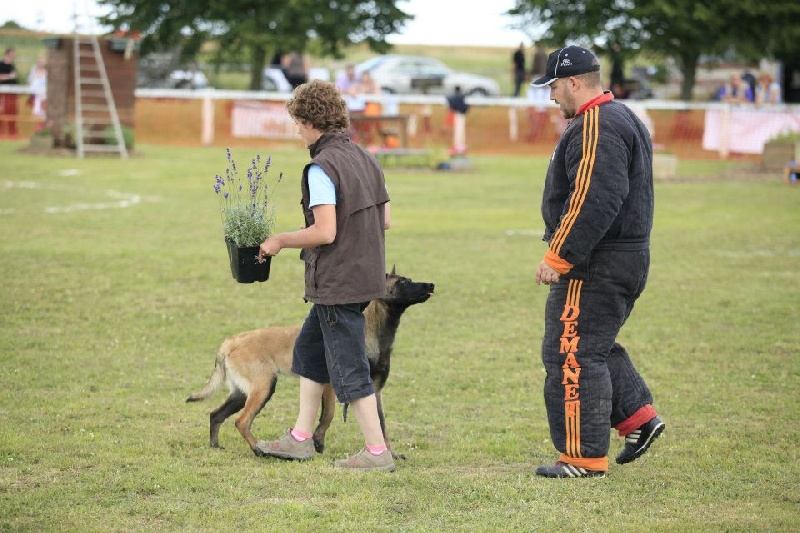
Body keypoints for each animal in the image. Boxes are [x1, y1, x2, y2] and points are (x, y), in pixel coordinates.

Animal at [187, 270, 434, 458]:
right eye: (404, 282)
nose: (431, 283)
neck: (371, 332)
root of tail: (231, 341)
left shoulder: (375, 390)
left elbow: (382, 424)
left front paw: (391, 454)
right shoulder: (330, 386)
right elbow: (328, 414)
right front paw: (317, 442)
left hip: (242, 394)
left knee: (215, 415)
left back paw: (216, 447)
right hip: (264, 388)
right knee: (241, 421)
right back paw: (259, 450)